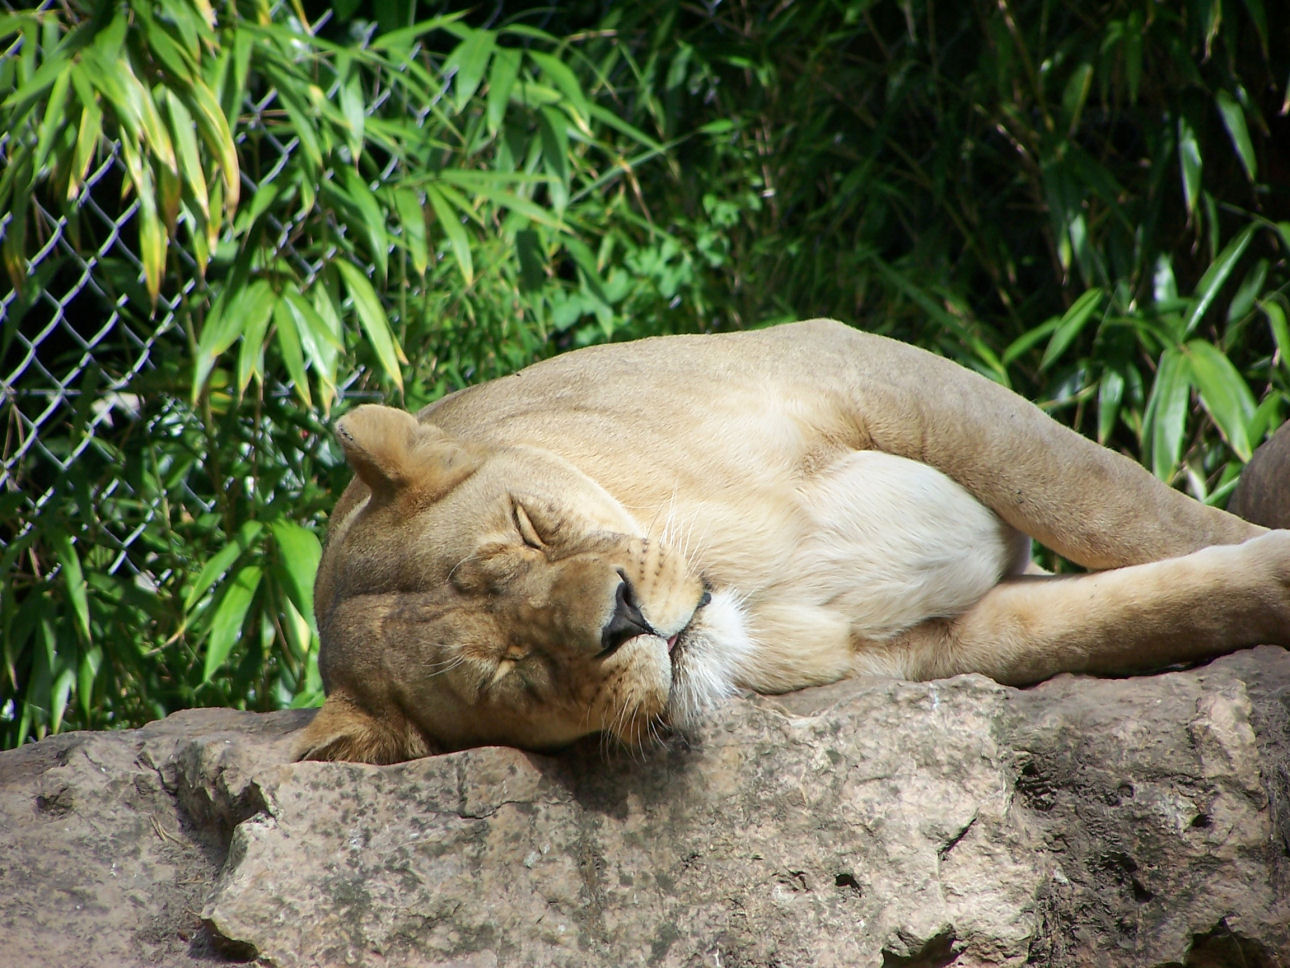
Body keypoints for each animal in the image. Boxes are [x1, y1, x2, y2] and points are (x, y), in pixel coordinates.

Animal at [295, 320, 1290, 764]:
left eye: (528, 528)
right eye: (509, 673)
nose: (622, 619)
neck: (745, 583)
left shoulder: (860, 362)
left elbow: (1115, 507)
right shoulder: (931, 645)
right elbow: (1139, 613)